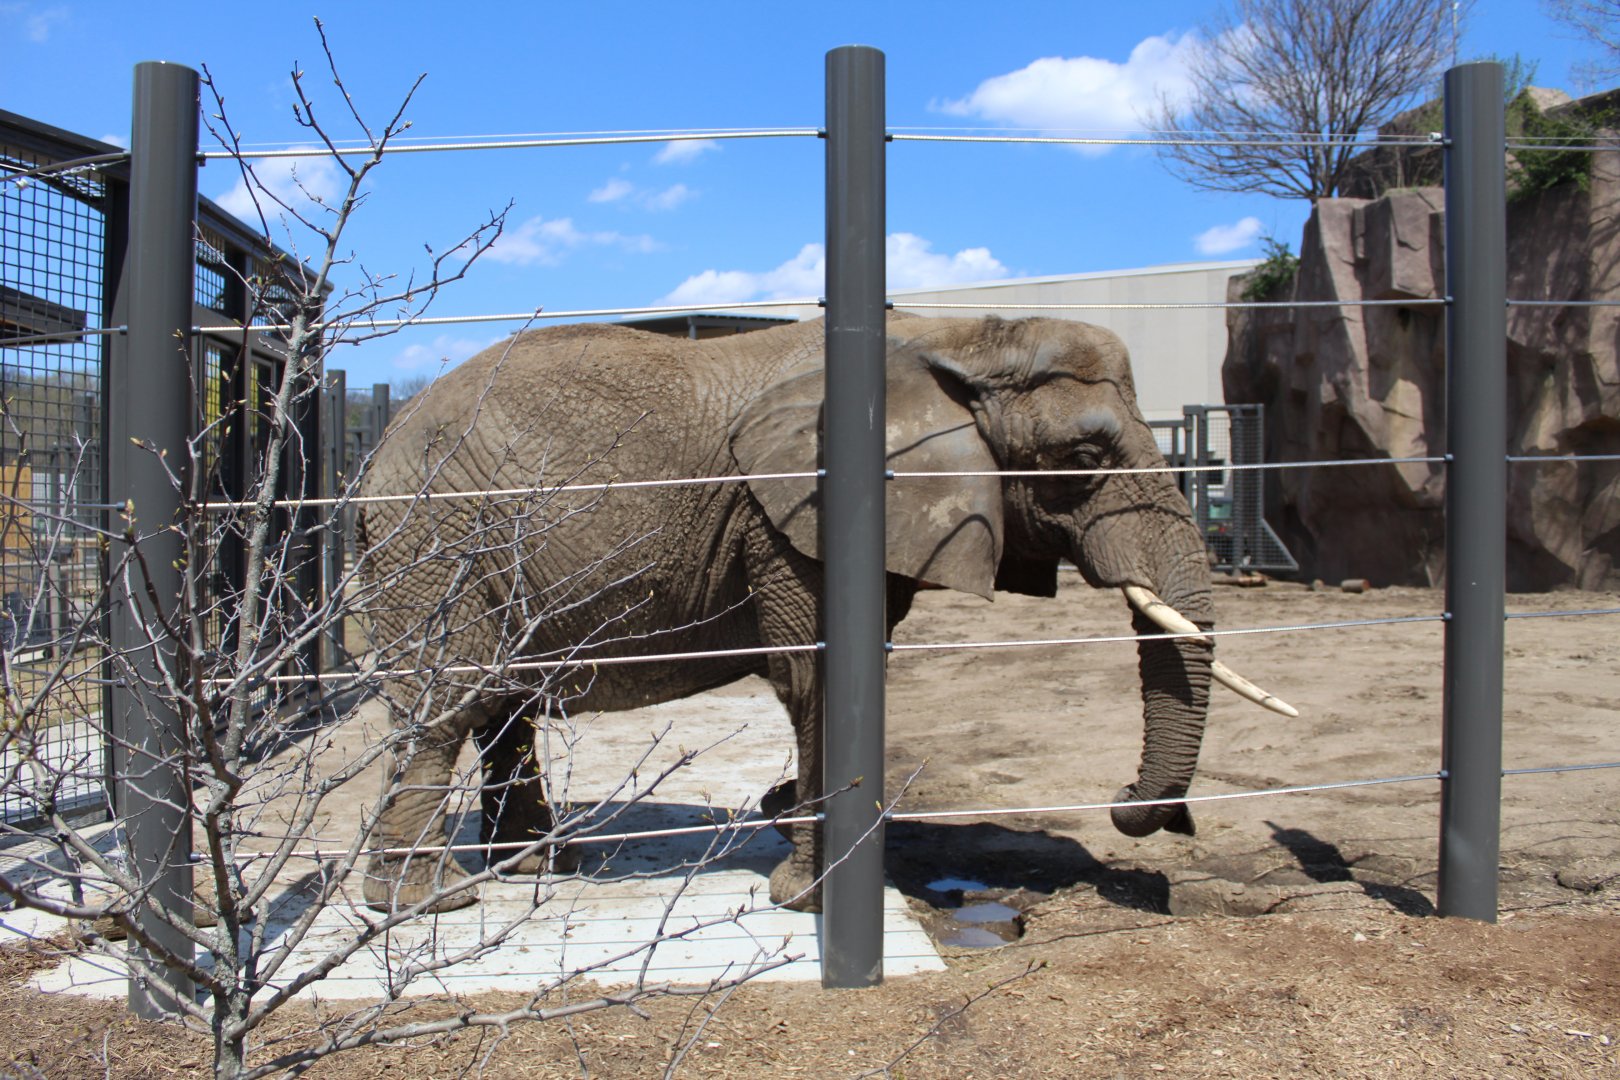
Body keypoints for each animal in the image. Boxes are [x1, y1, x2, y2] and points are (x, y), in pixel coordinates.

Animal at [356, 313, 1291, 914]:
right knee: (452, 701)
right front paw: (811, 894)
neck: (957, 337)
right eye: (1084, 455)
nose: (1132, 802)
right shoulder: (797, 513)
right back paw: (431, 903)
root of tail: (379, 444)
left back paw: (537, 864)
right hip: (438, 541)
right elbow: (820, 674)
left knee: (500, 706)